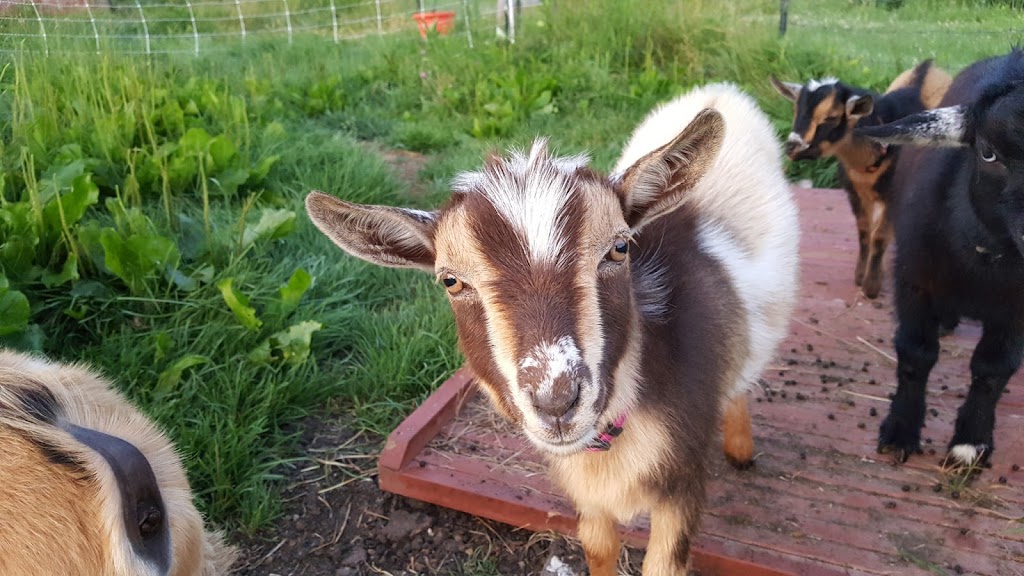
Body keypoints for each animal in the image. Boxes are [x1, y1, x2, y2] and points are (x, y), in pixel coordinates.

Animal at [306, 82, 799, 574]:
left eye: (619, 248)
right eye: (451, 280)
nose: (556, 400)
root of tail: (719, 92)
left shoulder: (683, 482)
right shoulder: (590, 499)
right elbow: (598, 548)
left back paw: (740, 449)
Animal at [771, 60, 952, 299]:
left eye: (831, 117)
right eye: (795, 110)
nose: (792, 146)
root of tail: (929, 65)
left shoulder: (892, 194)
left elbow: (880, 236)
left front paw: (871, 286)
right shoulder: (855, 192)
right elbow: (866, 232)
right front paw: (861, 276)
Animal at [855, 49, 1024, 467]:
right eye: (988, 152)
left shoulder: (1017, 310)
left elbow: (993, 368)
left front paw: (970, 443)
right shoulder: (913, 280)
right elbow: (916, 354)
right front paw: (900, 430)